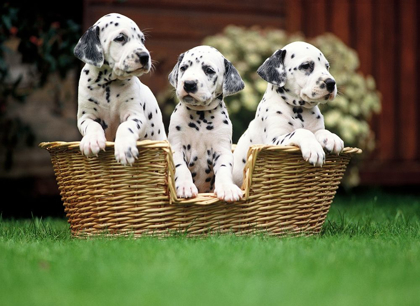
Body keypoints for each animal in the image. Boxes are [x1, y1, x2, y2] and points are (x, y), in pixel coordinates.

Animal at [74, 13, 167, 165]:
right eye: (120, 38)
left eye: (142, 39)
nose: (145, 56)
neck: (108, 83)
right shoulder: (85, 117)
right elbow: (92, 125)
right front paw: (91, 141)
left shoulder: (135, 116)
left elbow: (125, 127)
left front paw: (125, 149)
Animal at [168, 45, 244, 202]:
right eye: (183, 67)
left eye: (209, 70)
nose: (189, 84)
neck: (200, 117)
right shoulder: (176, 147)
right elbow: (181, 168)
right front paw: (184, 186)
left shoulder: (222, 150)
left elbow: (224, 169)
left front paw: (227, 188)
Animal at [233, 41, 344, 186]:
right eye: (306, 65)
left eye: (327, 66)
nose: (331, 83)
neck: (298, 109)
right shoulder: (273, 141)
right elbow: (301, 132)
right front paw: (314, 148)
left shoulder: (316, 128)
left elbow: (321, 131)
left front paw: (332, 137)